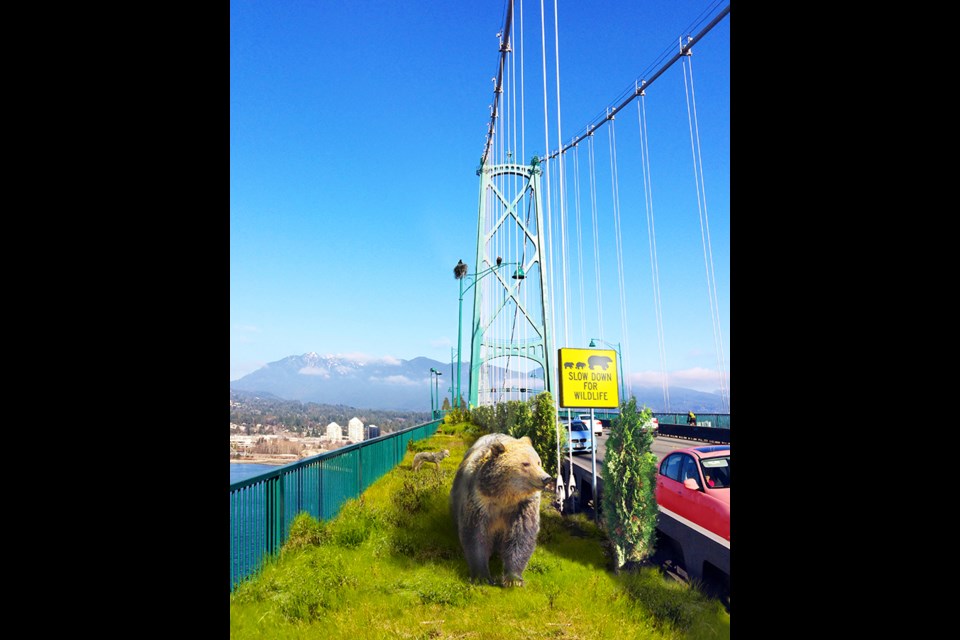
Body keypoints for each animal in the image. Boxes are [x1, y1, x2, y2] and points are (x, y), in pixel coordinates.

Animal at [450, 432, 556, 588]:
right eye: (525, 463)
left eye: (538, 462)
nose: (546, 478)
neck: (505, 496)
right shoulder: (479, 501)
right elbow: (476, 534)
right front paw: (482, 576)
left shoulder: (523, 507)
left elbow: (521, 536)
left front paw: (513, 579)